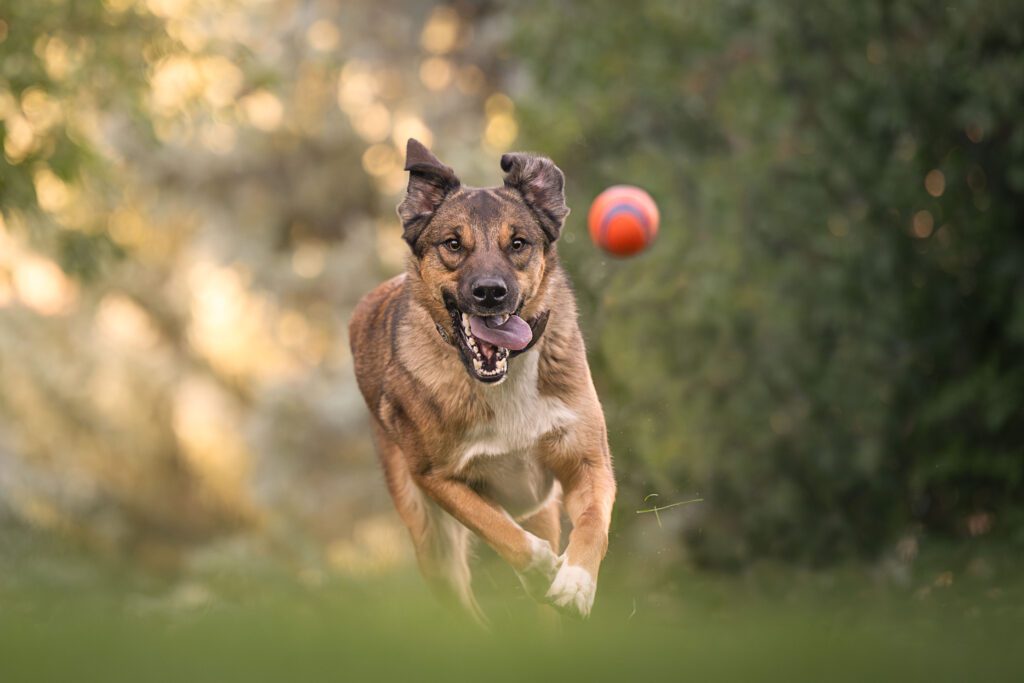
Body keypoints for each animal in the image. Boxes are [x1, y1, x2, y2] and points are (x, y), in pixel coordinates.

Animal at [350, 139, 614, 618]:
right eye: (453, 244)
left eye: (518, 243)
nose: (490, 292)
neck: (502, 380)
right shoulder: (435, 477)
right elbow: (497, 526)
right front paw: (541, 566)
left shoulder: (589, 462)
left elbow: (591, 523)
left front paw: (575, 583)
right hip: (431, 539)